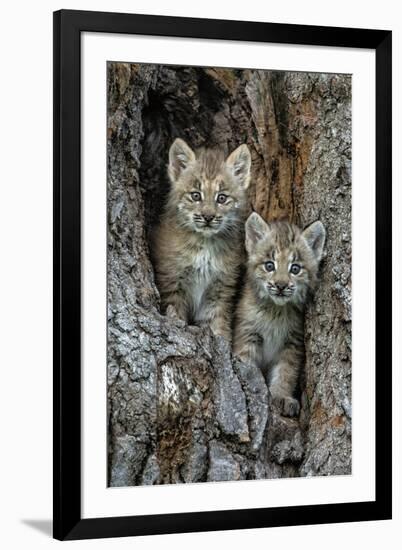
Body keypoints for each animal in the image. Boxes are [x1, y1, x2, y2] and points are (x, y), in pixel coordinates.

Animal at [152, 138, 250, 340]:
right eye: (195, 195)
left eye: (222, 198)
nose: (208, 217)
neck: (205, 244)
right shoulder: (172, 282)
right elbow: (176, 314)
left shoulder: (219, 289)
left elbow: (217, 322)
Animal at [232, 212, 326, 418]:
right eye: (269, 265)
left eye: (295, 268)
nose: (281, 286)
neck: (276, 310)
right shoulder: (248, 333)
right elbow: (247, 363)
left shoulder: (293, 343)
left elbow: (286, 373)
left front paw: (281, 396)